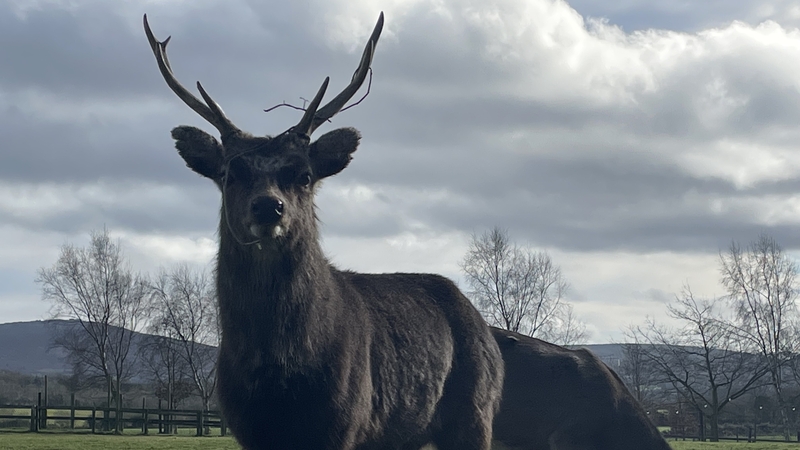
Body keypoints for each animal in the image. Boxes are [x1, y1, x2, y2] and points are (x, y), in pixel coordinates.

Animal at [143, 13, 504, 450]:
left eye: (304, 174)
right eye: (231, 173)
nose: (269, 206)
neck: (277, 374)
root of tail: (488, 334)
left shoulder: (343, 421)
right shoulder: (247, 427)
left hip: (475, 411)